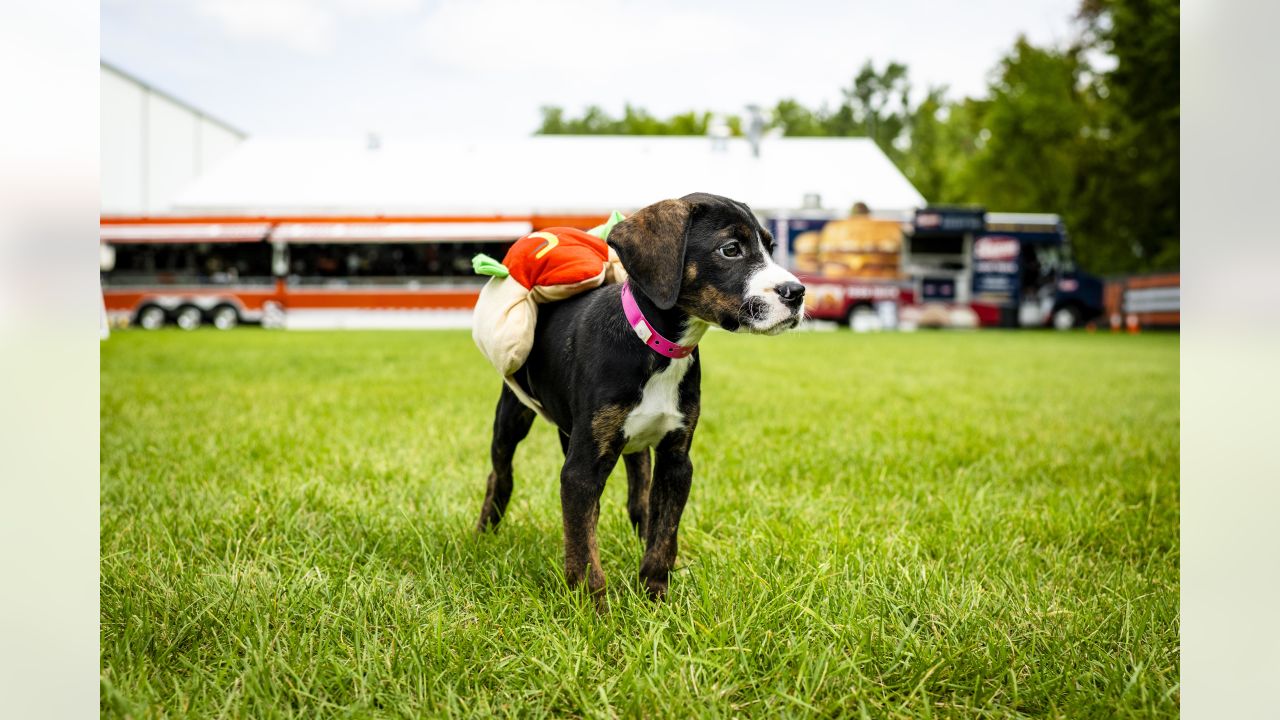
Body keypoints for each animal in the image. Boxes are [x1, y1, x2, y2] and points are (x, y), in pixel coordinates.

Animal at [476, 189, 803, 599]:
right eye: (731, 249)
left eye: (771, 247)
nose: (797, 293)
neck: (657, 348)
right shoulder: (581, 469)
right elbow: (583, 547)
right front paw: (592, 607)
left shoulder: (676, 458)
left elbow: (664, 535)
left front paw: (656, 596)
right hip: (513, 416)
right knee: (500, 474)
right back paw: (486, 530)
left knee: (638, 498)